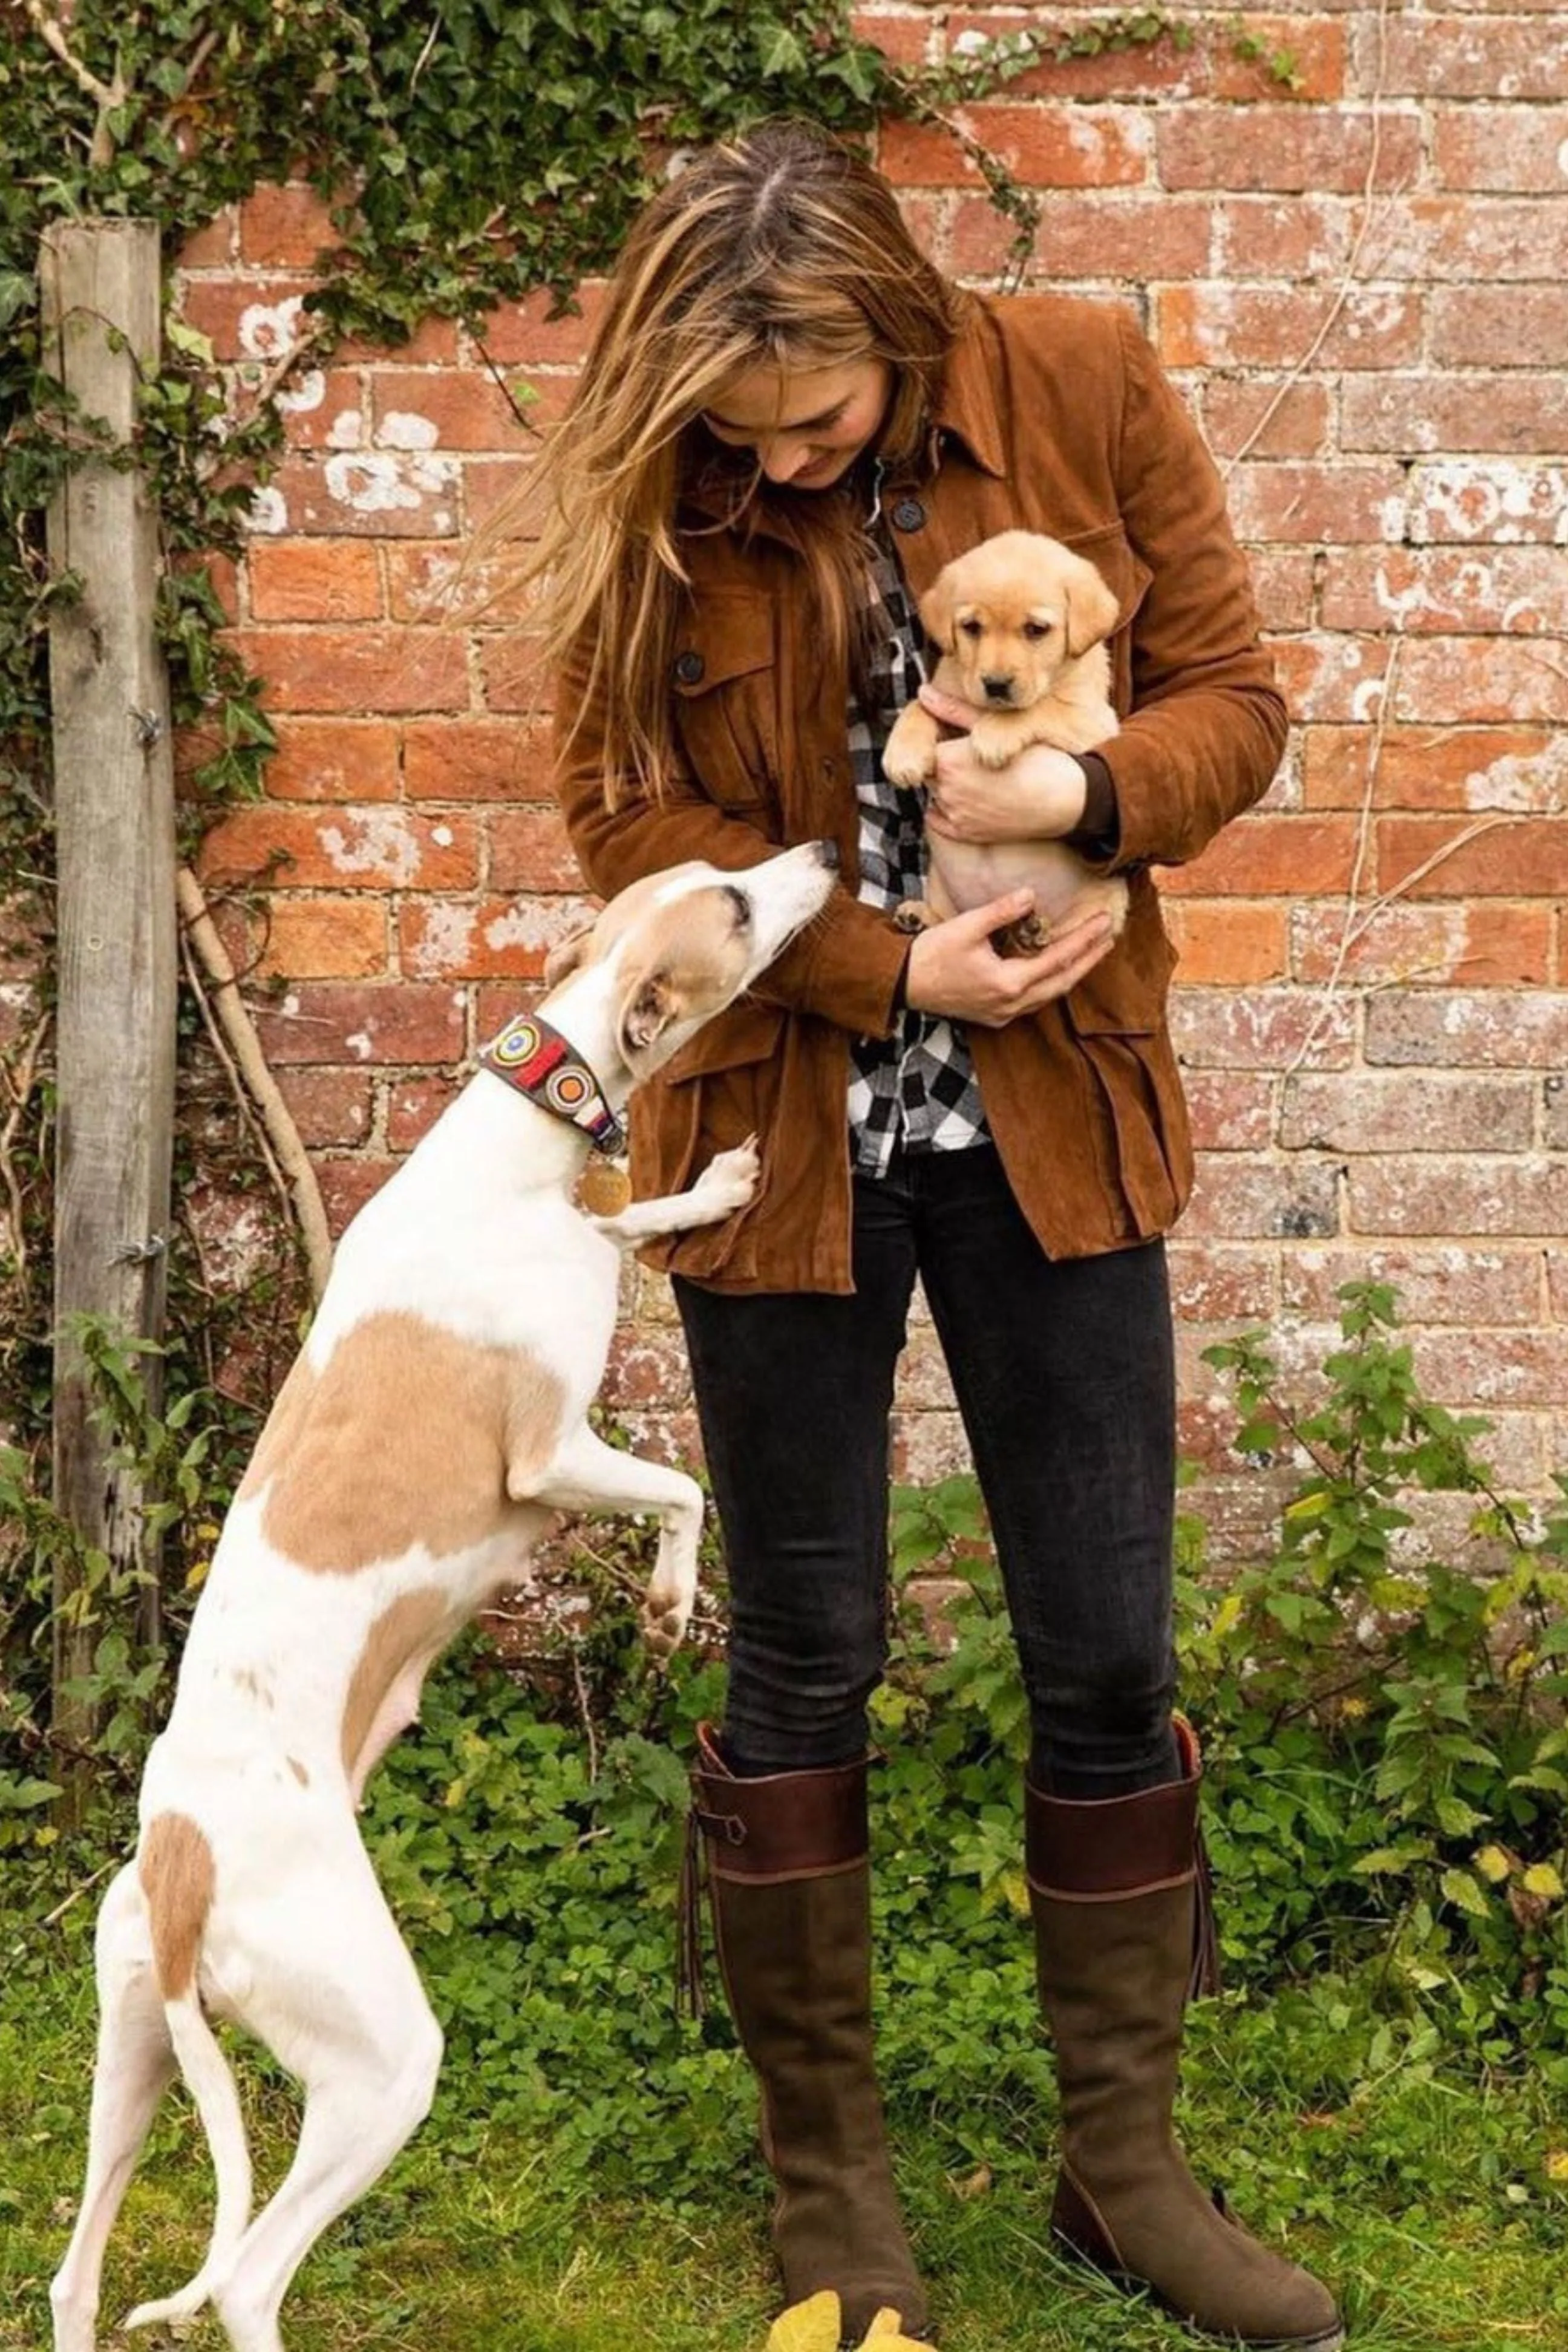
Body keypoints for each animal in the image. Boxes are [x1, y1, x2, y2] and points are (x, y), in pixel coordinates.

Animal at [49, 841, 832, 2352]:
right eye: (736, 906)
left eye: (716, 873)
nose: (825, 853)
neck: (512, 1152)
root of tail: (182, 1854)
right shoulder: (552, 1455)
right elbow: (684, 1490)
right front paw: (668, 1609)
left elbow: (638, 1217)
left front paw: (708, 1188)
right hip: (380, 2064)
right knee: (248, 2274)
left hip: (136, 2054)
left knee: (73, 2273)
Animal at [884, 529, 1128, 950]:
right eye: (971, 627)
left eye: (1036, 630)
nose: (995, 684)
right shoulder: (946, 693)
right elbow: (920, 705)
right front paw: (903, 753)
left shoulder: (1093, 720)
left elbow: (1039, 708)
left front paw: (994, 734)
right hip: (943, 890)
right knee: (950, 921)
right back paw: (920, 917)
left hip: (1102, 906)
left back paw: (1033, 932)